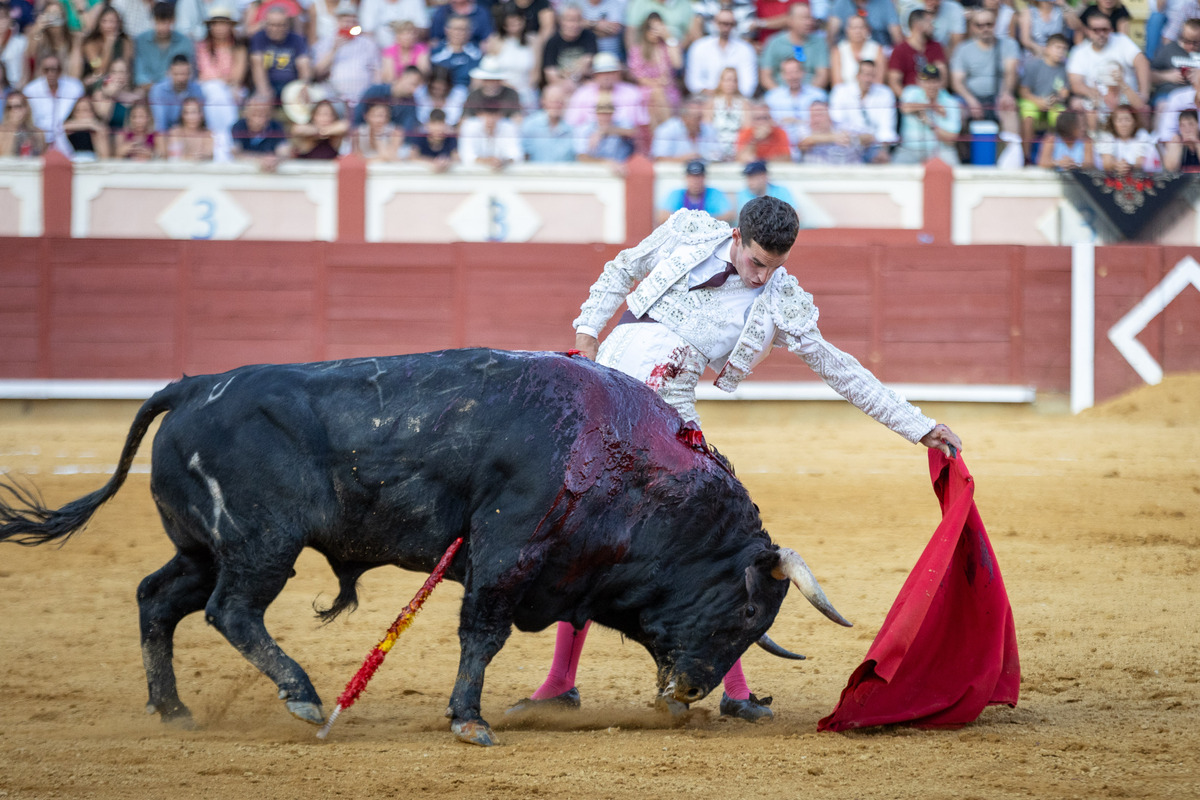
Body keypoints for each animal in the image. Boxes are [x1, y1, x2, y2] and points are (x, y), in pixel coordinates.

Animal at [0, 347, 849, 748]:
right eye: (746, 610)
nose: (690, 690)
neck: (624, 457)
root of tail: (191, 386)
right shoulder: (509, 548)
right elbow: (483, 632)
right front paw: (468, 719)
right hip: (259, 544)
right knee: (230, 611)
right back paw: (304, 696)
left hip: (202, 545)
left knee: (158, 598)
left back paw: (173, 709)